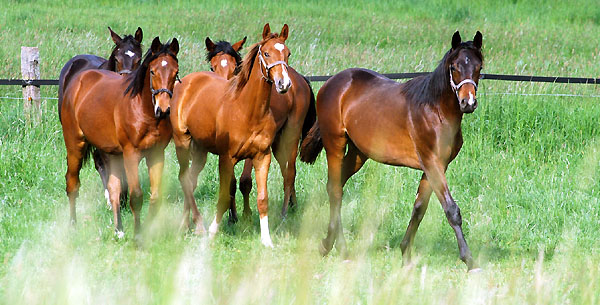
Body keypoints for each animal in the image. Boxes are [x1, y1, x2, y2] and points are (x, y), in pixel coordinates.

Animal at [170, 24, 292, 247]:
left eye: (287, 53)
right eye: (267, 53)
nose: (283, 83)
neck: (249, 111)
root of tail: (186, 82)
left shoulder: (262, 157)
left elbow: (262, 198)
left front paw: (266, 240)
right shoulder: (226, 159)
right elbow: (224, 196)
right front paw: (213, 232)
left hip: (200, 150)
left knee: (190, 180)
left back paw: (186, 224)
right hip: (182, 141)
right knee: (184, 178)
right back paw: (196, 227)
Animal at [204, 35, 316, 220]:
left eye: (236, 67)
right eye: (213, 67)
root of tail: (300, 78)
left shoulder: (254, 149)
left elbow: (245, 181)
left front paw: (247, 215)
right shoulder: (226, 151)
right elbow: (230, 182)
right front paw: (232, 216)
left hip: (291, 134)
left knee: (290, 172)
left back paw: (286, 212)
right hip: (277, 143)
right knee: (286, 171)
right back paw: (293, 204)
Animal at [300, 29, 482, 270]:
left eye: (479, 67)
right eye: (454, 67)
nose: (467, 102)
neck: (434, 110)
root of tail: (331, 83)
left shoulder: (435, 166)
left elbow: (419, 208)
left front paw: (405, 254)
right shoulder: (432, 162)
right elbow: (451, 210)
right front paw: (469, 260)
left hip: (358, 154)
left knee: (336, 185)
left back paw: (328, 245)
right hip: (335, 145)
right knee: (335, 190)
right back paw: (339, 248)